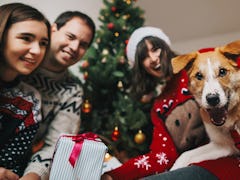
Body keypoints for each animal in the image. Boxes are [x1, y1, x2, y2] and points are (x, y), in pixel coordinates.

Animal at [170, 40, 240, 170]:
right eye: (199, 76)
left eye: (222, 71)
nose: (212, 99)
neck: (229, 123)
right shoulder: (222, 145)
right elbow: (185, 155)